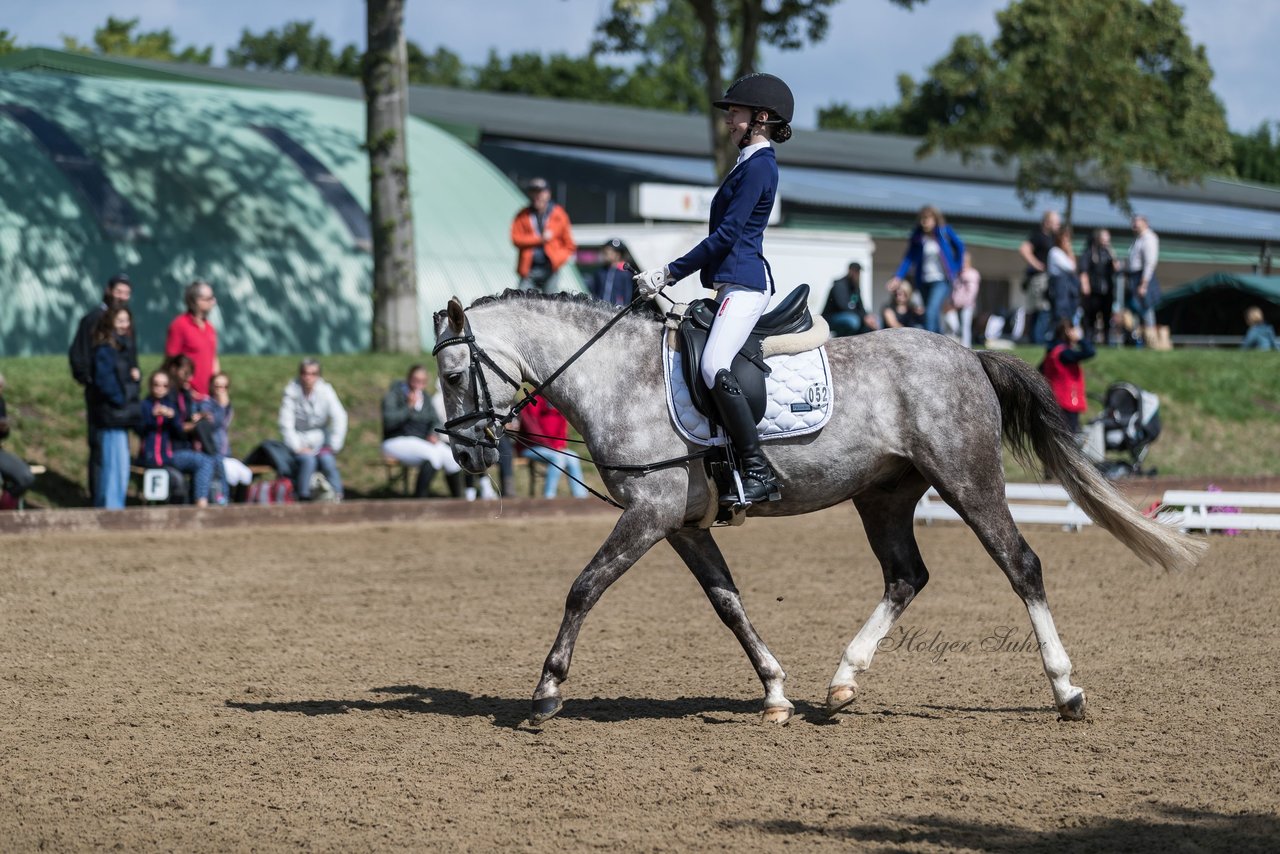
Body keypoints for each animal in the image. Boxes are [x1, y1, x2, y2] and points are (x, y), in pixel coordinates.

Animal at [435, 290, 1203, 727]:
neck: (619, 376)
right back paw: (841, 685)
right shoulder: (679, 526)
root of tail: (968, 353)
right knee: (906, 576)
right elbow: (728, 602)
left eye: (451, 372)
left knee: (1022, 566)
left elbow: (583, 587)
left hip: (969, 480)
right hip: (883, 496)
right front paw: (775, 692)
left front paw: (545, 693)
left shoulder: (648, 516)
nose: (469, 456)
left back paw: (1066, 692)